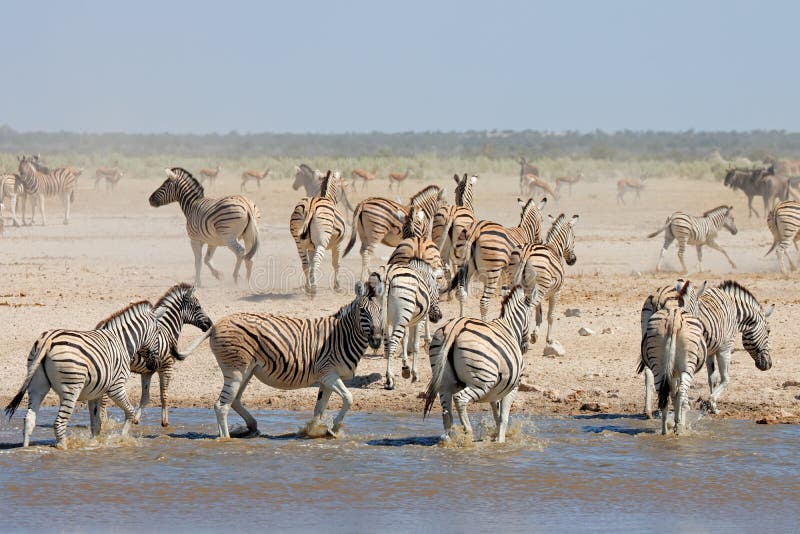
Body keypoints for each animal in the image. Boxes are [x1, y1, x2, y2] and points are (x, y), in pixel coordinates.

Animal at [3, 304, 164, 450]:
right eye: (158, 332)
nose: (155, 365)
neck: (123, 342)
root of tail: (48, 339)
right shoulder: (116, 387)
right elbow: (130, 411)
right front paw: (123, 439)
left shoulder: (95, 393)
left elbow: (96, 424)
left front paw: (95, 444)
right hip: (71, 388)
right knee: (59, 422)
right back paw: (63, 448)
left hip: (37, 385)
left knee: (29, 419)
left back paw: (25, 449)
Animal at [176, 276, 388, 440]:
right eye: (362, 311)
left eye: (381, 312)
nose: (377, 340)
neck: (342, 336)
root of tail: (217, 324)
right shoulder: (328, 374)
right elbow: (349, 398)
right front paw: (334, 428)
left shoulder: (326, 380)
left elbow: (319, 410)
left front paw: (316, 431)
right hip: (235, 370)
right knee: (221, 406)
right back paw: (225, 440)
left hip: (247, 371)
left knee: (233, 400)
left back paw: (249, 427)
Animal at [382, 258, 444, 390]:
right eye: (438, 290)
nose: (438, 317)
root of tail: (388, 274)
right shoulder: (419, 320)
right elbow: (415, 345)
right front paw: (415, 374)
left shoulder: (404, 321)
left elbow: (404, 340)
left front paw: (405, 367)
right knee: (393, 342)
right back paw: (390, 379)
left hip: (384, 319)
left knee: (388, 344)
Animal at [422, 286, 536, 446]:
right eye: (531, 316)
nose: (525, 347)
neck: (508, 327)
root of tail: (455, 327)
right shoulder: (512, 388)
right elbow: (503, 418)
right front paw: (500, 442)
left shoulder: (495, 393)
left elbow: (496, 415)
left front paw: (496, 437)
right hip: (482, 381)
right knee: (460, 399)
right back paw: (468, 433)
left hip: (444, 383)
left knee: (447, 414)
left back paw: (449, 439)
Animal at [510, 214, 580, 348]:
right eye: (574, 237)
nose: (573, 260)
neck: (555, 249)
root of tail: (526, 252)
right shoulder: (556, 291)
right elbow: (550, 315)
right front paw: (549, 340)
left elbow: (539, 315)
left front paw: (535, 336)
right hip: (539, 289)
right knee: (528, 310)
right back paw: (524, 339)